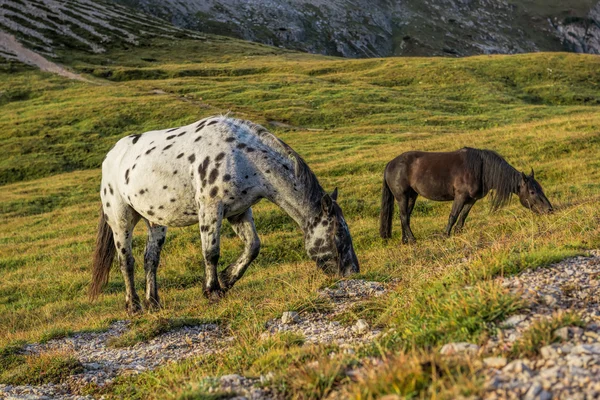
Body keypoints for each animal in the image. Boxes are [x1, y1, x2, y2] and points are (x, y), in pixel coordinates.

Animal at [91, 115, 358, 312]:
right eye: (337, 236)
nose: (352, 273)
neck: (242, 155)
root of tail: (111, 156)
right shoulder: (211, 207)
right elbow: (211, 252)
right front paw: (213, 291)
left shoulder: (239, 211)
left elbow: (252, 246)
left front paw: (227, 279)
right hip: (121, 220)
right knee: (126, 261)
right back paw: (133, 306)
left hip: (155, 221)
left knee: (150, 259)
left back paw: (153, 302)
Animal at [380, 146, 552, 242]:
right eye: (532, 191)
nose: (549, 209)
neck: (481, 168)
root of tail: (390, 164)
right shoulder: (460, 196)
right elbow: (453, 215)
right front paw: (445, 235)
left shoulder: (471, 199)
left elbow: (463, 216)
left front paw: (458, 233)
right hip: (402, 196)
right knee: (404, 216)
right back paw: (412, 239)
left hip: (412, 196)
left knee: (406, 217)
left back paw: (405, 240)